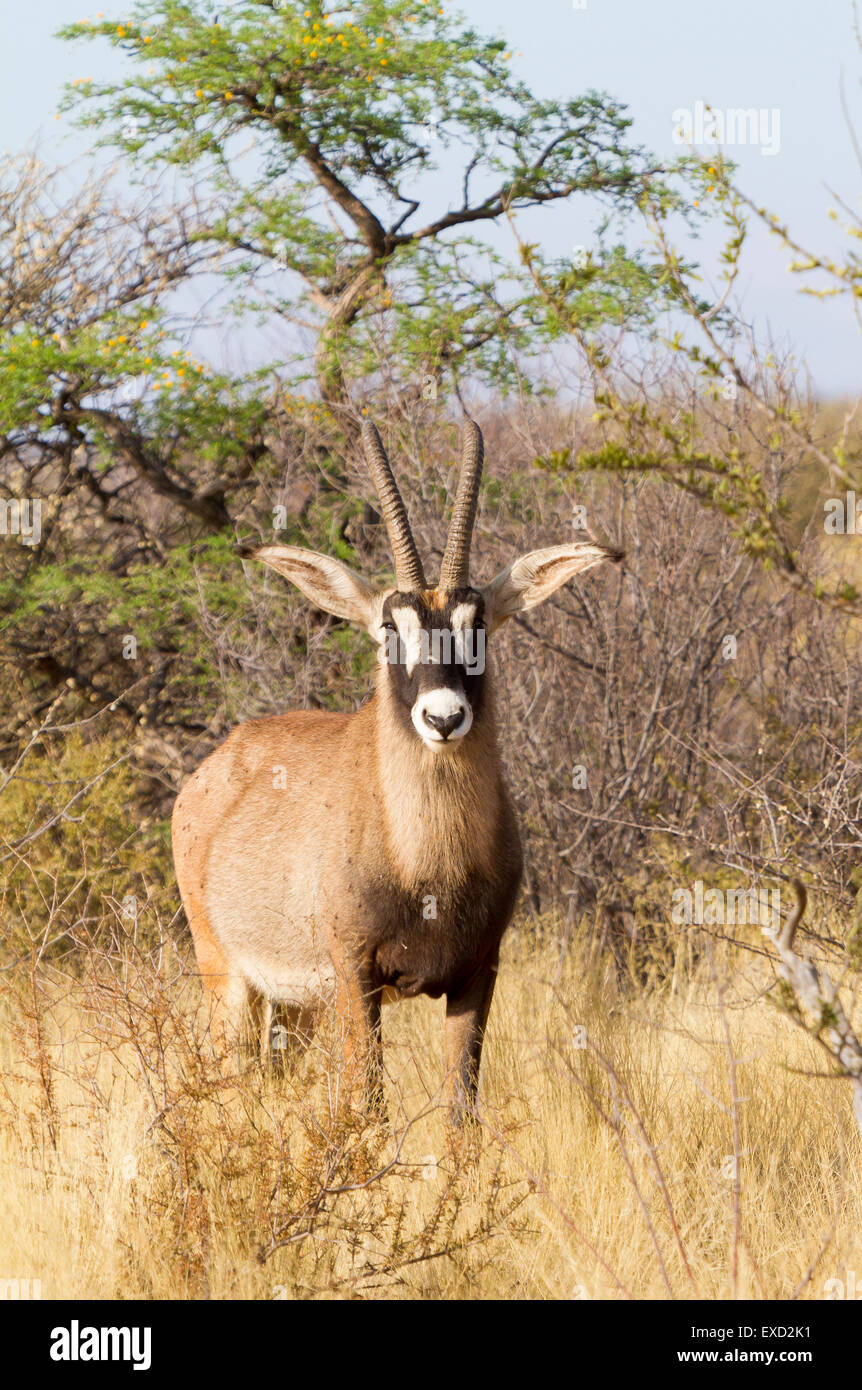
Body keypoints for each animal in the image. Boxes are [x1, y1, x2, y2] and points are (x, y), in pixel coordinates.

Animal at [173, 417, 620, 1123]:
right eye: (389, 625)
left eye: (477, 624)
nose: (443, 717)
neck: (424, 862)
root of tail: (212, 771)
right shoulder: (357, 975)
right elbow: (369, 1105)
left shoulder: (477, 974)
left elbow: (461, 1110)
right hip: (229, 978)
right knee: (229, 1075)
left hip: (297, 1007)